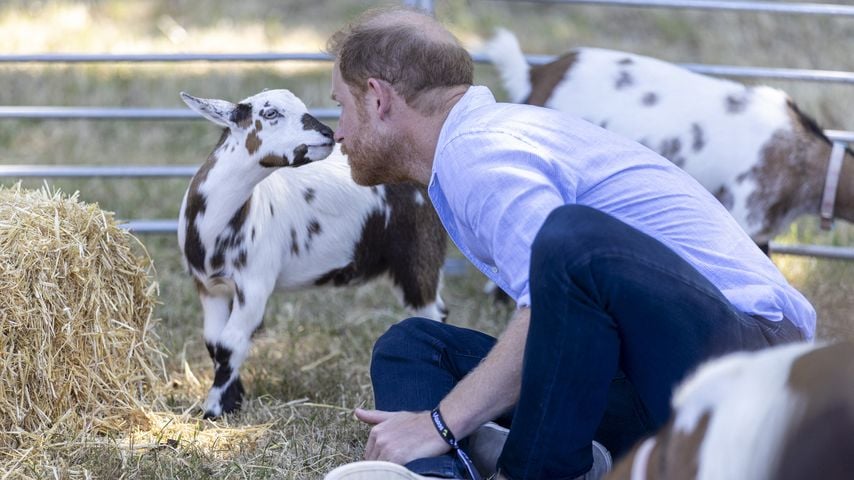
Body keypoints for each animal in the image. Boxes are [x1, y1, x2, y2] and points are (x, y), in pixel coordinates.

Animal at [178, 89, 447, 419]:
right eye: (270, 113)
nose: (328, 134)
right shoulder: (208, 287)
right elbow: (214, 343)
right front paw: (233, 400)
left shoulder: (255, 286)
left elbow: (231, 343)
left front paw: (215, 409)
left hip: (420, 255)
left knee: (433, 312)